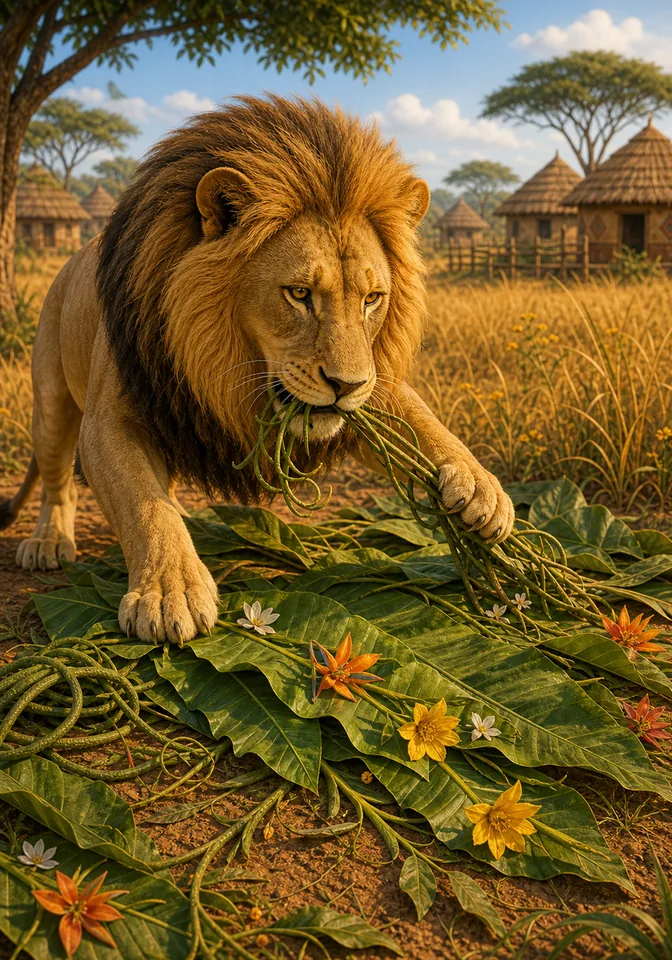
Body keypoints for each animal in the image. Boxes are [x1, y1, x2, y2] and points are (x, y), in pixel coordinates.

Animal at [0, 95, 514, 644]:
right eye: (299, 294)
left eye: (372, 299)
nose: (345, 384)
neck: (223, 363)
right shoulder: (110, 420)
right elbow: (143, 506)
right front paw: (171, 590)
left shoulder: (369, 390)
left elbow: (420, 420)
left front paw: (481, 486)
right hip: (50, 403)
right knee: (57, 480)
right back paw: (49, 541)